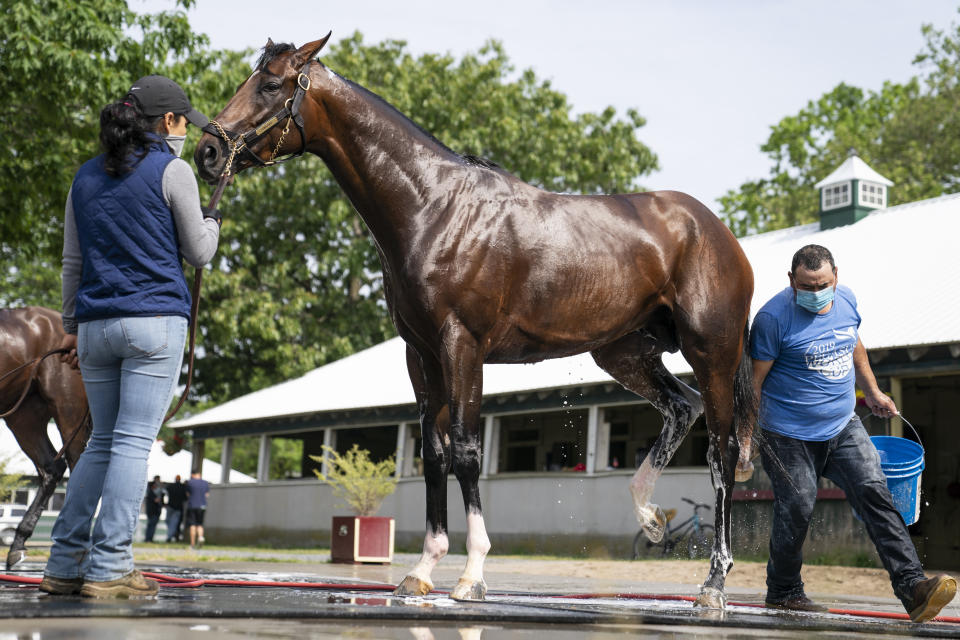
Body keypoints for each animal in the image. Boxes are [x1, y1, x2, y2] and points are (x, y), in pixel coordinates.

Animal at [197, 36, 756, 608]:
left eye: (270, 85)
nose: (208, 153)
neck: (433, 208)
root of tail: (716, 230)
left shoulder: (462, 345)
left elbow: (466, 450)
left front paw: (472, 574)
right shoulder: (421, 354)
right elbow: (433, 454)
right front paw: (422, 570)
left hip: (711, 353)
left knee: (722, 450)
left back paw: (714, 583)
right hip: (624, 353)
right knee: (681, 408)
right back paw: (649, 517)